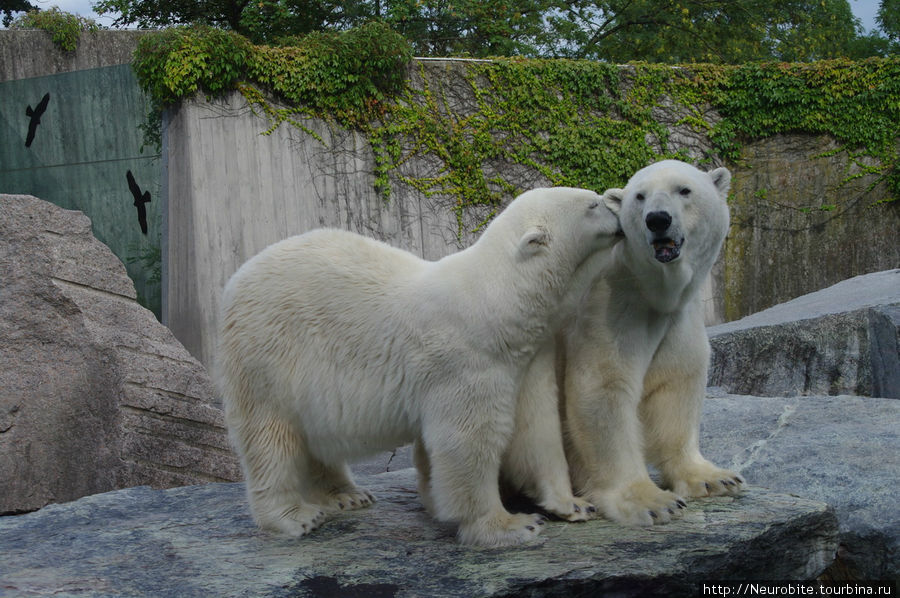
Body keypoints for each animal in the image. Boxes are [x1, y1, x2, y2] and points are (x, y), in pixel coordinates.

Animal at [219, 188, 624, 548]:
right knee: (271, 438)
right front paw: (510, 525)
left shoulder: (530, 358)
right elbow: (467, 441)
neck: (498, 307)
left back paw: (347, 494)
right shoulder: (469, 360)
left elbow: (537, 429)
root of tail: (237, 281)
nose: (616, 200)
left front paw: (574, 504)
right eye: (592, 204)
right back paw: (294, 517)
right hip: (270, 355)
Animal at [506, 161, 744, 528]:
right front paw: (652, 502)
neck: (653, 290)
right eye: (639, 196)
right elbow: (604, 388)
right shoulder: (610, 304)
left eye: (684, 190)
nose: (658, 219)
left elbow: (676, 383)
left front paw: (714, 478)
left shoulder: (678, 318)